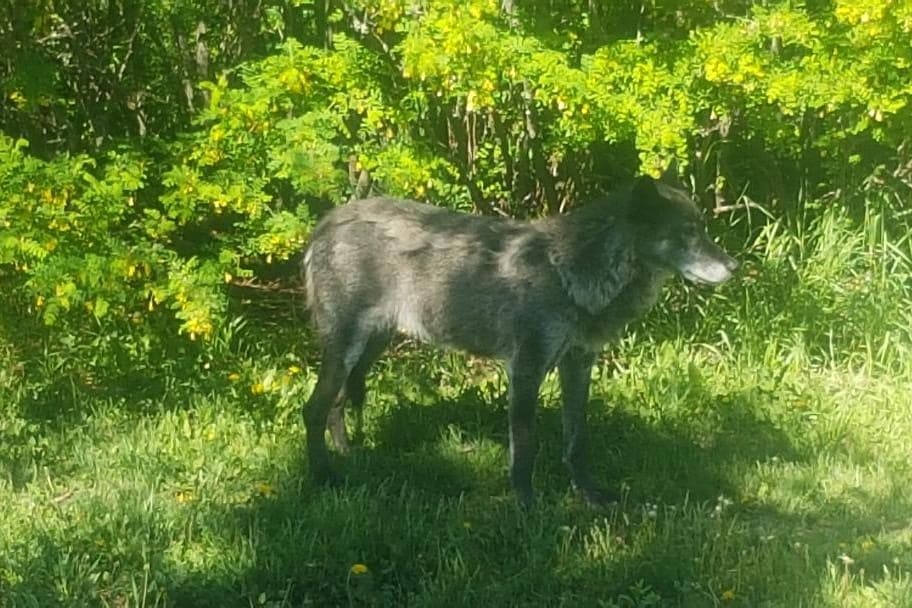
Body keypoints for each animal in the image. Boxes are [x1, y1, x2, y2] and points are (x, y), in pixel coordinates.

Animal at [302, 170, 736, 504]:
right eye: (687, 233)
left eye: (702, 229)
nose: (735, 265)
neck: (568, 271)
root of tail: (327, 223)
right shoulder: (526, 368)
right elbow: (525, 447)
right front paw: (527, 507)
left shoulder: (578, 364)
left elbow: (577, 441)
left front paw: (591, 495)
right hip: (347, 350)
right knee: (313, 409)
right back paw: (324, 479)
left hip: (368, 348)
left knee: (335, 405)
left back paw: (349, 458)